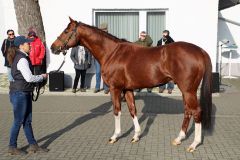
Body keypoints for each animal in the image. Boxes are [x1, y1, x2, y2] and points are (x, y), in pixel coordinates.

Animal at [51, 17, 212, 152]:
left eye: (66, 31)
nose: (53, 47)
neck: (112, 52)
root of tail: (200, 51)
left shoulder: (115, 89)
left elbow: (117, 111)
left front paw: (115, 136)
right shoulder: (127, 89)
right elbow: (132, 110)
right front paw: (136, 136)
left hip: (188, 90)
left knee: (196, 111)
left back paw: (194, 144)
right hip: (186, 91)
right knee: (188, 111)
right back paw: (179, 138)